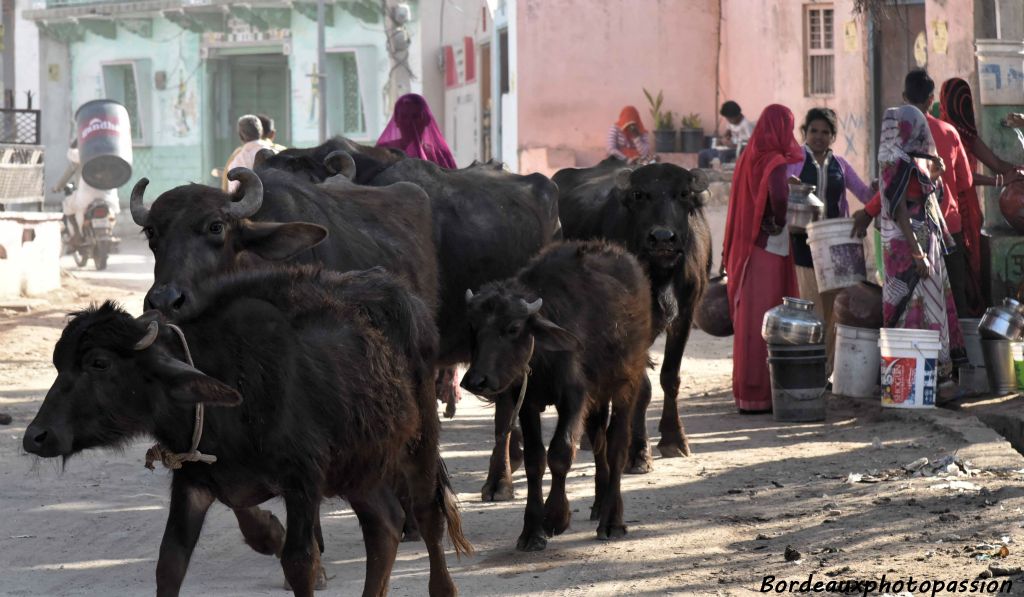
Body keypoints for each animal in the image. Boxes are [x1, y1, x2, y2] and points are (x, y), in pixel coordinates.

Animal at [24, 268, 468, 597]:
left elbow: (300, 562)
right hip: (359, 464)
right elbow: (171, 562)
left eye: (99, 363)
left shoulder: (303, 480)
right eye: (58, 362)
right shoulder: (195, 482)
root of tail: (407, 300)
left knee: (426, 515)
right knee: (386, 524)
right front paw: (268, 531)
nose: (35, 437)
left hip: (417, 442)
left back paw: (443, 586)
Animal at [462, 241, 651, 552]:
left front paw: (555, 517)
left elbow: (561, 452)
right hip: (598, 399)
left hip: (627, 383)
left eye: (513, 328)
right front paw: (531, 531)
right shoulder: (527, 403)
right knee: (599, 442)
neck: (542, 360)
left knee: (617, 445)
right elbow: (535, 460)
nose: (476, 381)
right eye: (474, 328)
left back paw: (612, 521)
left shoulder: (574, 398)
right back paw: (600, 504)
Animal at [552, 158, 712, 471]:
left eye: (683, 193)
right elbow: (642, 386)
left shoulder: (686, 314)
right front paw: (637, 451)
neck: (660, 275)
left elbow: (670, 376)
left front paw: (674, 439)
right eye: (639, 195)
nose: (662, 237)